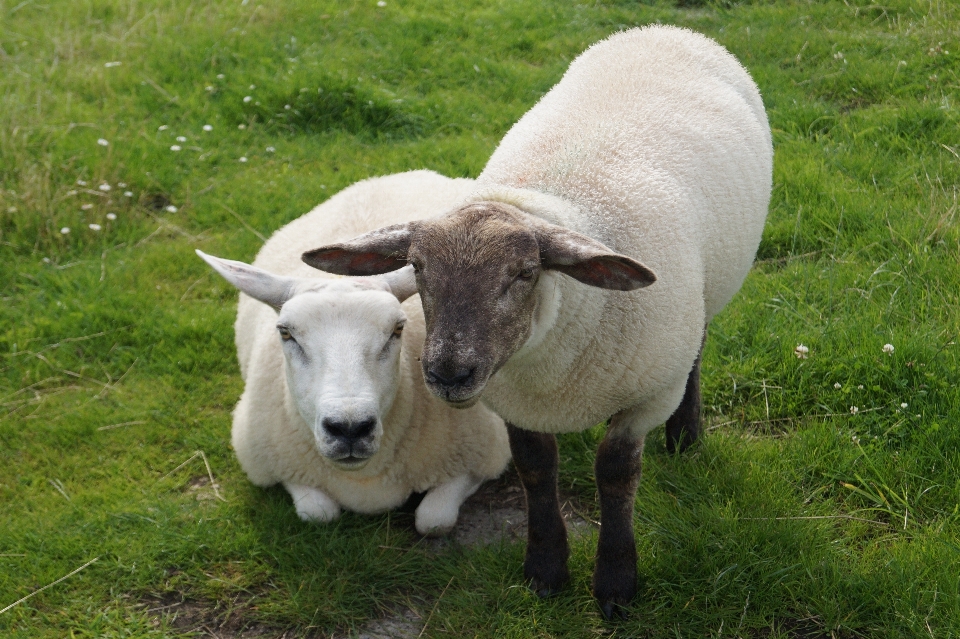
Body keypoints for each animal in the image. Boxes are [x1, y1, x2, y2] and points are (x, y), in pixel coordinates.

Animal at [197, 169, 510, 536]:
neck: (365, 481)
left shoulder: (484, 455)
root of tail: (388, 176)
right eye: (286, 333)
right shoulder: (268, 461)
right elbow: (318, 513)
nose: (349, 428)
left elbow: (434, 520)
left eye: (397, 330)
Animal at [304, 26, 776, 620]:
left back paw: (685, 435)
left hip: (702, 299)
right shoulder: (515, 401)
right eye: (417, 267)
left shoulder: (646, 395)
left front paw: (616, 583)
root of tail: (661, 30)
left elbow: (616, 472)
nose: (448, 374)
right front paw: (545, 569)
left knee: (698, 344)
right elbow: (535, 468)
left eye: (525, 273)